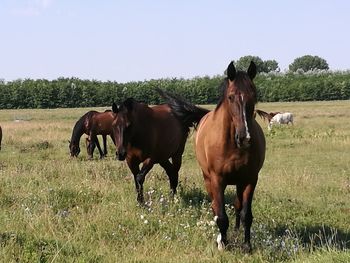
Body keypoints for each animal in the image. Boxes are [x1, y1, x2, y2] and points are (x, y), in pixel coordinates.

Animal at [159, 62, 266, 254]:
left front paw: (247, 246)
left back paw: (236, 231)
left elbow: (246, 214)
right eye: (230, 97)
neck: (232, 145)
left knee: (238, 206)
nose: (244, 137)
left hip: (239, 182)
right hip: (208, 179)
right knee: (215, 207)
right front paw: (223, 244)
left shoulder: (250, 179)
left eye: (254, 95)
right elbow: (221, 215)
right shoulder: (217, 179)